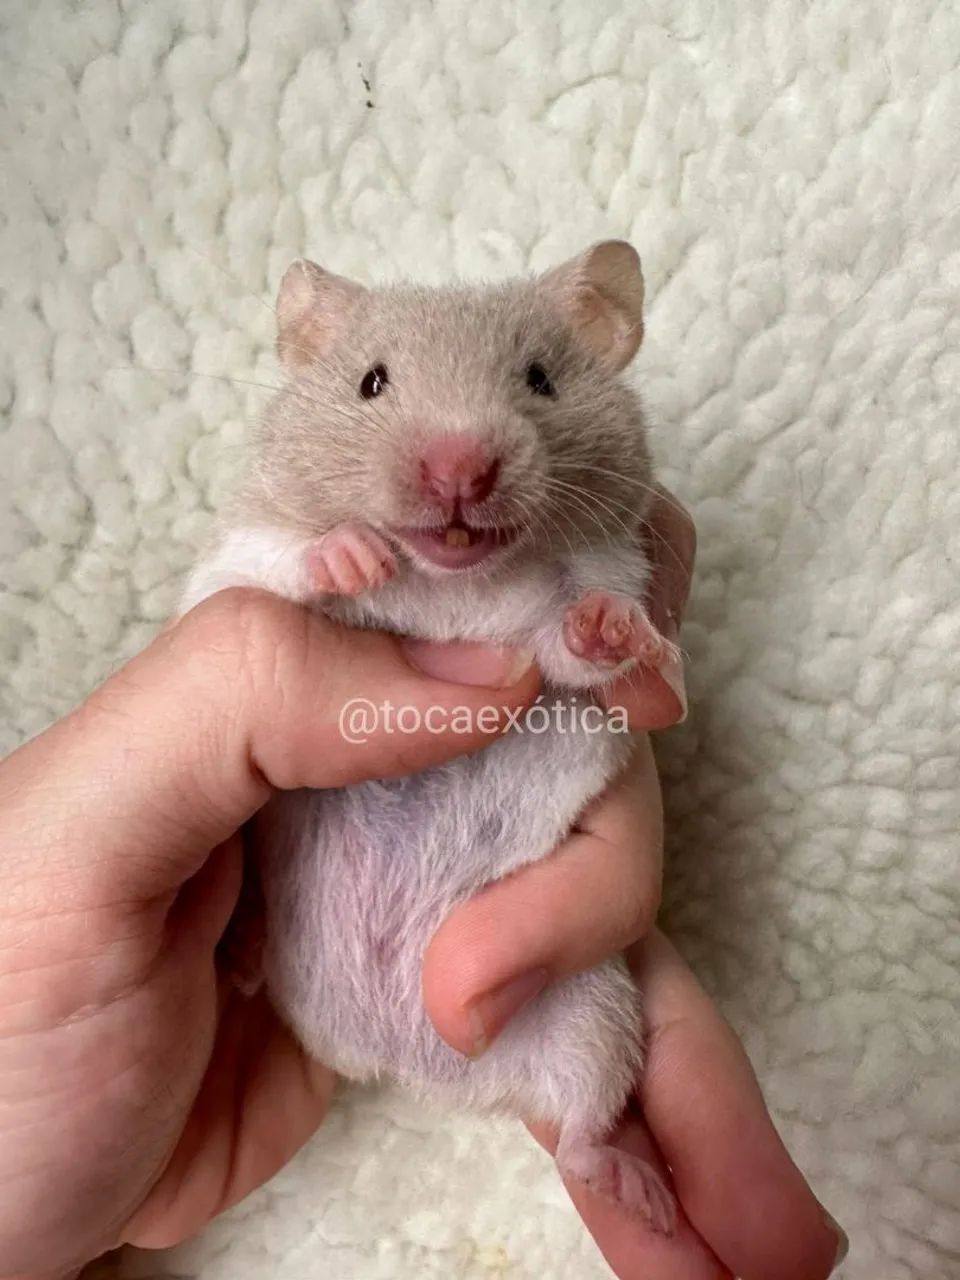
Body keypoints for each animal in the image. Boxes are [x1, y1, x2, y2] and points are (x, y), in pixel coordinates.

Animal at [181, 241, 677, 1233]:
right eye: (372, 382)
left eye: (540, 379)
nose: (459, 468)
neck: (453, 583)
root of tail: (401, 1067)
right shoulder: (224, 583)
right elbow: (261, 572)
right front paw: (349, 554)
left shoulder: (580, 603)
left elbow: (575, 642)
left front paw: (616, 629)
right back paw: (244, 953)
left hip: (593, 1010)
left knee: (584, 1127)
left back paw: (639, 1192)